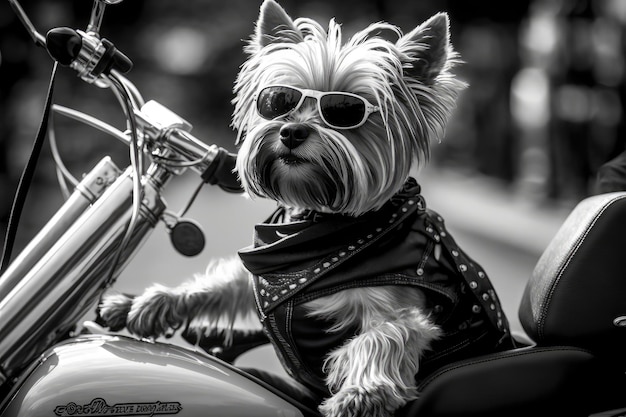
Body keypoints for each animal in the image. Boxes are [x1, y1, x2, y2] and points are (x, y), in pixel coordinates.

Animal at [96, 1, 508, 414]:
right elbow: (223, 283)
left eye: (345, 110)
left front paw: (360, 392)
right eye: (277, 102)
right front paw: (147, 302)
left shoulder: (402, 306)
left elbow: (384, 335)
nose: (291, 131)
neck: (316, 221)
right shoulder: (269, 280)